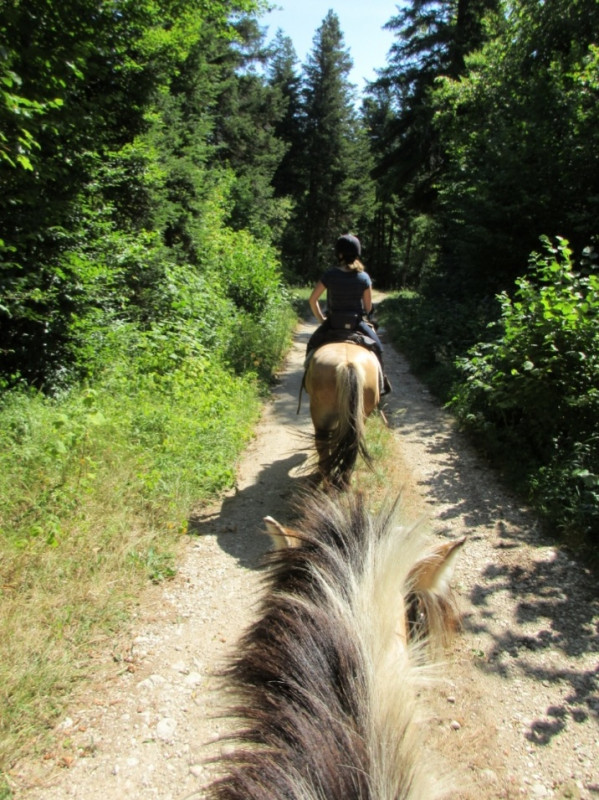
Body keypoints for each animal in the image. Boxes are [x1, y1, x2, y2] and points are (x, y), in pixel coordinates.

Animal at [302, 340, 382, 488]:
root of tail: (348, 364)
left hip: (321, 415)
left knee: (323, 444)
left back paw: (326, 480)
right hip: (359, 416)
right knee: (351, 443)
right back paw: (344, 482)